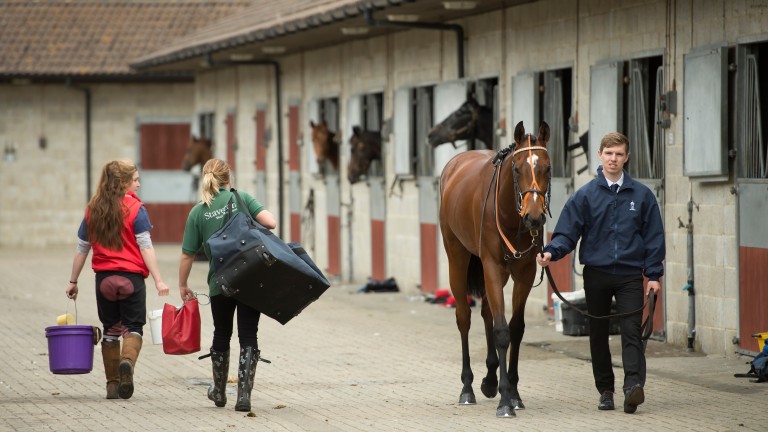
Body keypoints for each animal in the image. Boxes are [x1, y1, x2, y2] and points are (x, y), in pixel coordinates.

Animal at [438, 120, 552, 416]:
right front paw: (505, 401)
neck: (510, 215)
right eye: (517, 168)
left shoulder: (525, 273)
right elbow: (501, 331)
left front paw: (513, 393)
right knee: (464, 317)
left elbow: (516, 328)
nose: (534, 217)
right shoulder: (491, 266)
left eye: (547, 168)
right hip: (457, 257)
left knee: (487, 312)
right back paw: (468, 387)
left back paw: (490, 379)